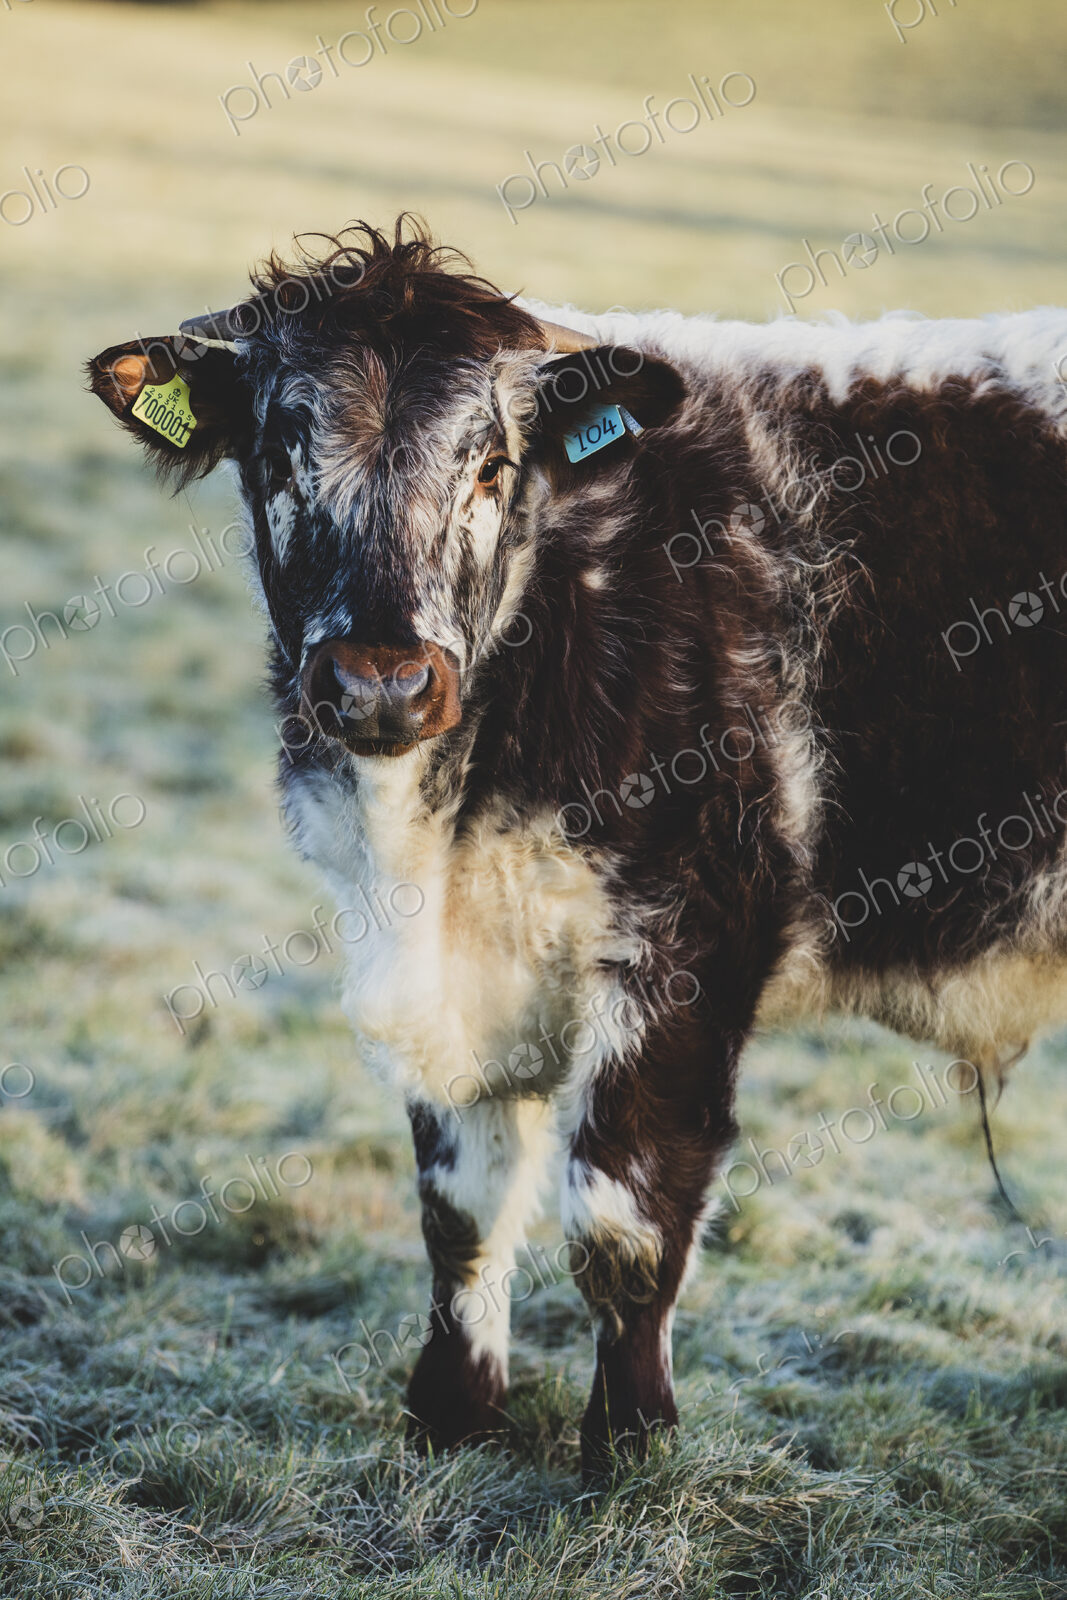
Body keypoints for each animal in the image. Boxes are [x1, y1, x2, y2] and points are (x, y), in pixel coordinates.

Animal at [88, 218, 1067, 1478]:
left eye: (490, 465)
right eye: (277, 456)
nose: (380, 680)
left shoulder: (687, 946)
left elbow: (623, 1219)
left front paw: (631, 1446)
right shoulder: (438, 970)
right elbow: (458, 1208)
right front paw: (453, 1411)